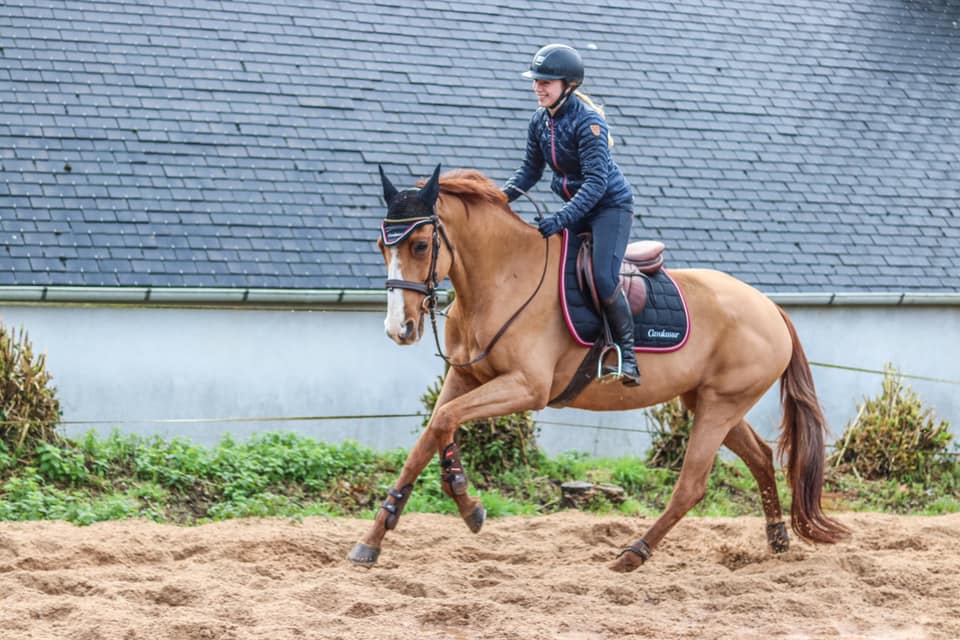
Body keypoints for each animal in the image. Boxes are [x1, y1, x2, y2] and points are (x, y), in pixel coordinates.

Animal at [348, 164, 844, 568]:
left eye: (420, 244)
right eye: (380, 246)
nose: (399, 329)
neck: (502, 280)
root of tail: (770, 307)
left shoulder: (526, 388)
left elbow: (445, 421)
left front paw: (465, 501)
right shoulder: (465, 376)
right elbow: (432, 434)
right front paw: (378, 537)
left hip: (721, 404)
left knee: (692, 485)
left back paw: (632, 554)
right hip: (705, 401)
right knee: (760, 457)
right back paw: (777, 539)